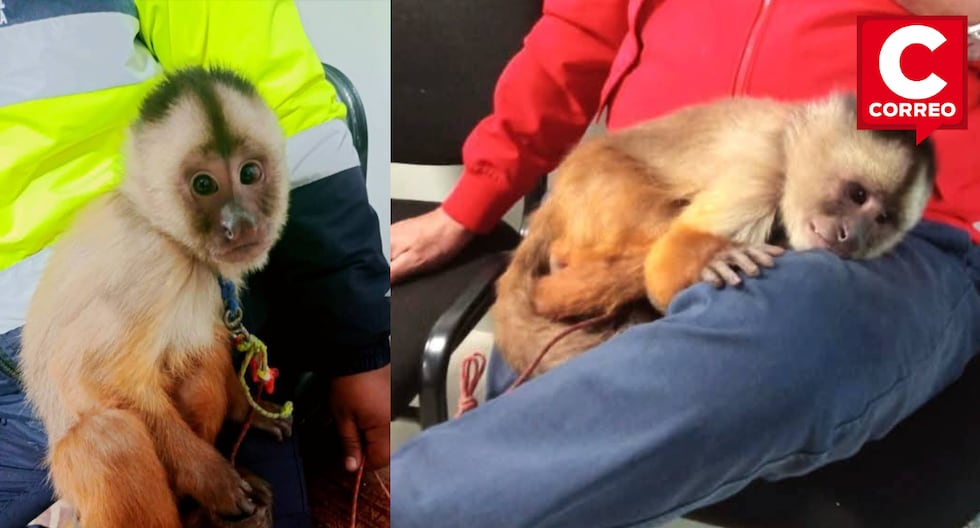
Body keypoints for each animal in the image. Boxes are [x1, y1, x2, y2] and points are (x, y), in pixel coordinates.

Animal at [492, 93, 936, 377]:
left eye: (882, 219)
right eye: (857, 195)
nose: (851, 235)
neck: (789, 147)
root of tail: (551, 201)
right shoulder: (761, 172)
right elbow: (664, 268)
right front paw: (709, 259)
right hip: (595, 181)